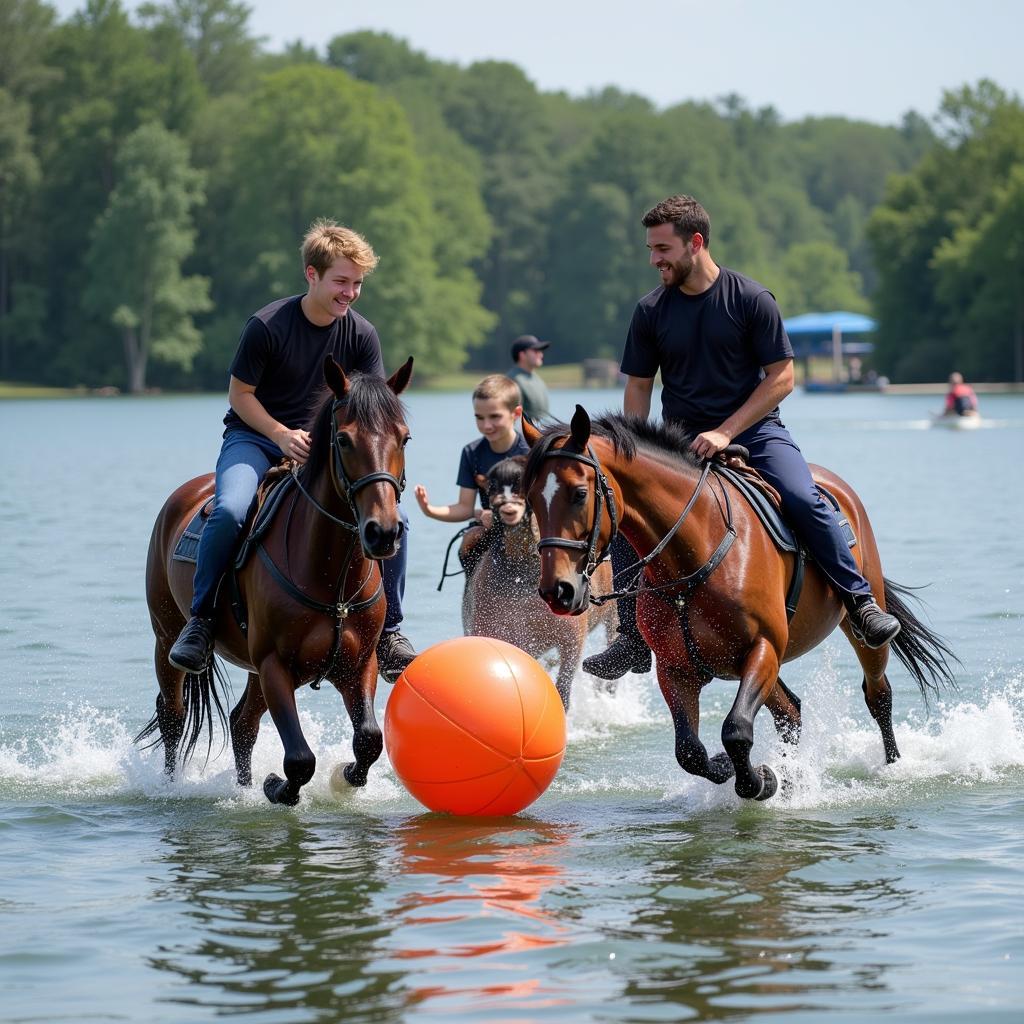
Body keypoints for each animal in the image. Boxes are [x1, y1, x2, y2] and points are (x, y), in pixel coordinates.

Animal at [140, 356, 411, 802]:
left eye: (404, 438)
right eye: (344, 440)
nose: (382, 533)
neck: (331, 576)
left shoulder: (358, 666)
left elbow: (369, 739)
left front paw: (343, 777)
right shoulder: (274, 666)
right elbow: (300, 759)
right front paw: (276, 786)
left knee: (241, 724)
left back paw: (243, 788)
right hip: (166, 637)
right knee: (173, 717)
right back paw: (170, 787)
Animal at [524, 405, 954, 798]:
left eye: (580, 493)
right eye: (531, 499)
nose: (557, 590)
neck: (695, 550)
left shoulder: (762, 648)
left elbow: (736, 730)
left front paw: (758, 781)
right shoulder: (675, 668)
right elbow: (690, 751)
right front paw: (737, 770)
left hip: (857, 624)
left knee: (878, 693)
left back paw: (892, 765)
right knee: (790, 713)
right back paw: (794, 778)